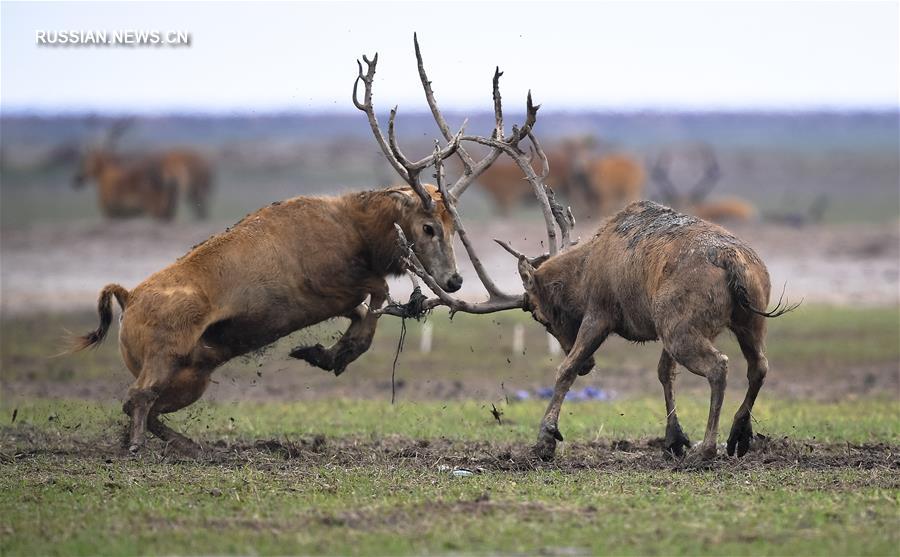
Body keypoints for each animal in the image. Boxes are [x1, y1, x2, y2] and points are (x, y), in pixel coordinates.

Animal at [70, 32, 544, 454]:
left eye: (454, 224)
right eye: (428, 226)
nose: (455, 280)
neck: (359, 236)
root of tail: (126, 298)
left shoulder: (339, 293)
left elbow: (366, 310)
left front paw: (324, 352)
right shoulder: (322, 284)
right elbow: (376, 295)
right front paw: (333, 352)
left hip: (195, 372)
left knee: (145, 406)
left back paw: (192, 446)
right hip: (165, 354)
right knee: (137, 398)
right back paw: (136, 446)